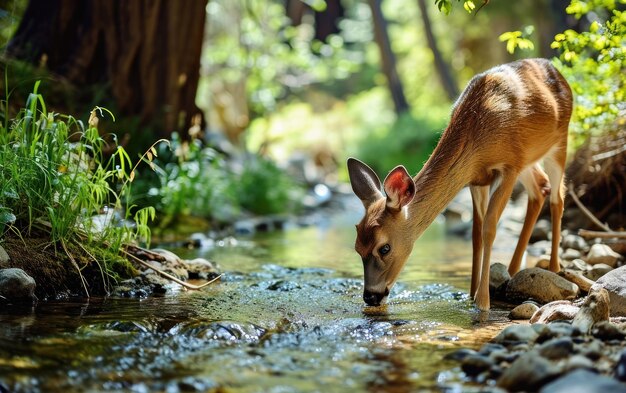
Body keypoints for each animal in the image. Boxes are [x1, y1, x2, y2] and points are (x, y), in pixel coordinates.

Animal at [346, 58, 572, 310]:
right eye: (357, 247)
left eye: (385, 248)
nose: (370, 297)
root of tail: (556, 70)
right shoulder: (477, 179)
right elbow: (476, 233)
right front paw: (470, 294)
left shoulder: (510, 166)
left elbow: (490, 228)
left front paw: (482, 302)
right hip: (529, 161)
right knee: (540, 188)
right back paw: (513, 270)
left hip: (559, 141)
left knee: (558, 196)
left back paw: (555, 268)